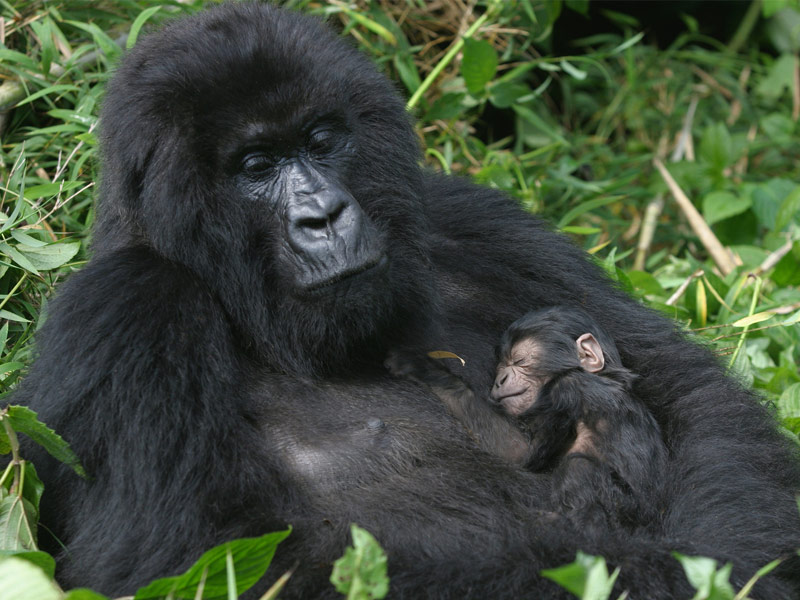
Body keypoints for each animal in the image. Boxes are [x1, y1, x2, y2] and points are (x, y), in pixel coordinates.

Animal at [388, 308, 668, 532]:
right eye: (500, 365)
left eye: (519, 360)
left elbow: (520, 451)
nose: (500, 379)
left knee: (580, 467)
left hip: (620, 509)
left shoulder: (565, 390)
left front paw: (423, 367)